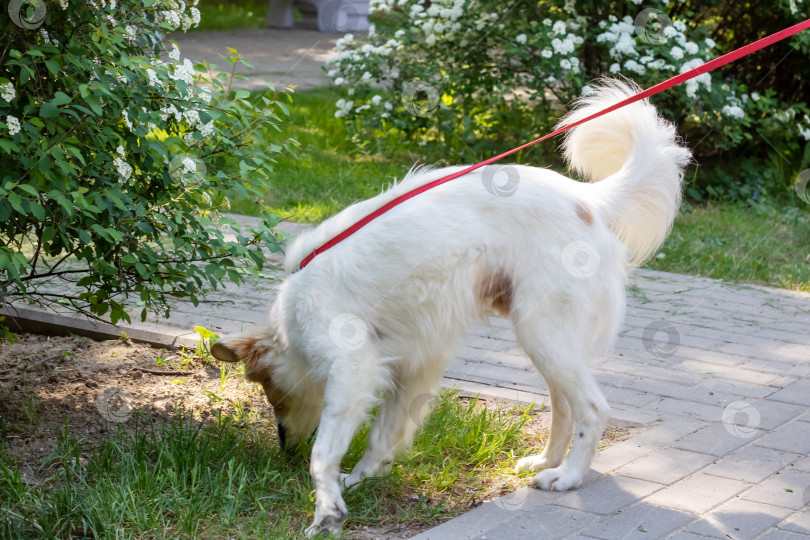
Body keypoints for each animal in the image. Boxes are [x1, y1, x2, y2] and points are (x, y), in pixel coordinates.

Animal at [208, 79, 688, 536]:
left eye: (271, 393)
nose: (284, 446)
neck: (291, 320)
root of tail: (587, 200)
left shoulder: (353, 367)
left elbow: (325, 452)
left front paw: (327, 508)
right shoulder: (411, 364)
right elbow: (383, 435)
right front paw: (361, 479)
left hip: (542, 332)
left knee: (592, 407)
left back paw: (567, 477)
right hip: (546, 337)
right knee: (564, 406)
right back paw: (546, 462)